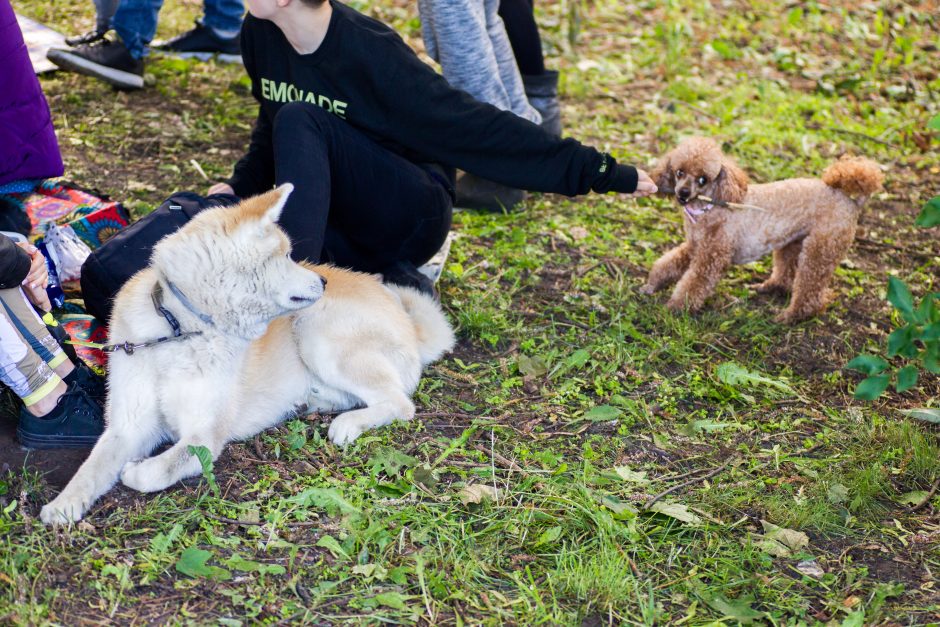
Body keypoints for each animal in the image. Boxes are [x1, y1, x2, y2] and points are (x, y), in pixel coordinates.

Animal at [42, 185, 454, 524]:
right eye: (287, 256)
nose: (323, 281)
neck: (178, 331)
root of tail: (409, 322)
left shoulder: (204, 434)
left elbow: (155, 471)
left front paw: (134, 470)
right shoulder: (126, 426)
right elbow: (93, 467)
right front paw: (64, 504)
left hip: (314, 332)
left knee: (400, 403)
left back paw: (349, 423)